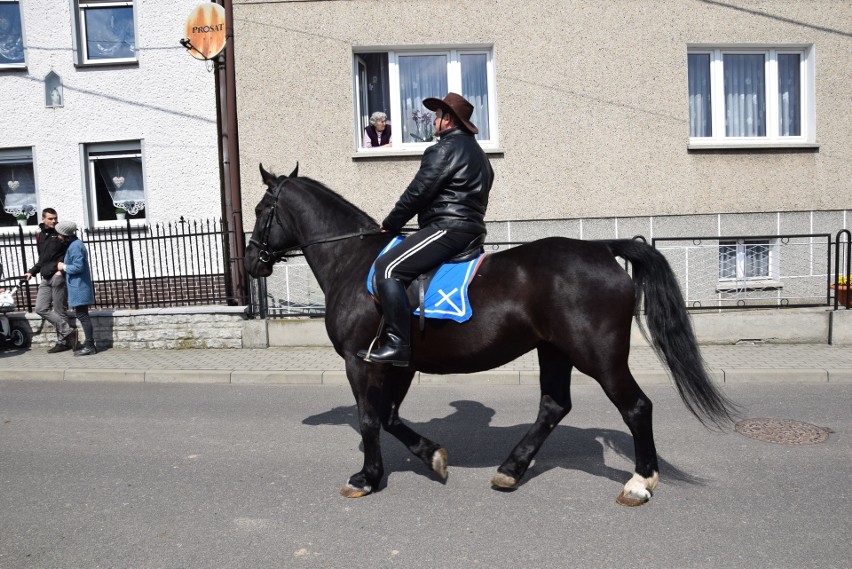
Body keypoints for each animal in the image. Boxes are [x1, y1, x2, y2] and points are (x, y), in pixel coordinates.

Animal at [243, 165, 736, 506]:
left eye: (262, 210)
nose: (250, 262)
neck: (355, 259)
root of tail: (602, 248)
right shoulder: (395, 363)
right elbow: (387, 417)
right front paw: (432, 456)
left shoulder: (360, 361)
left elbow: (369, 418)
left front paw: (366, 478)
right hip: (553, 351)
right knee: (554, 406)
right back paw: (511, 470)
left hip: (598, 355)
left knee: (635, 407)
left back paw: (639, 483)